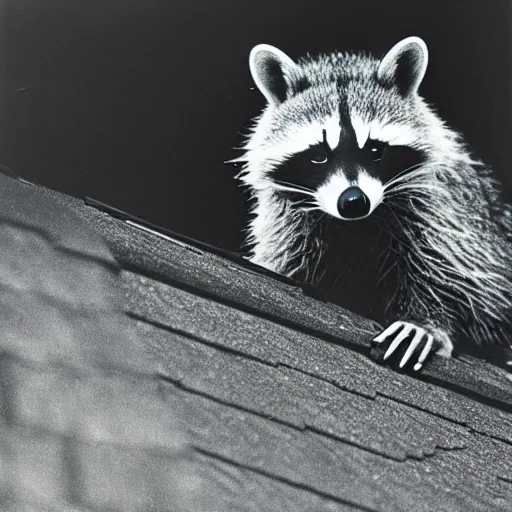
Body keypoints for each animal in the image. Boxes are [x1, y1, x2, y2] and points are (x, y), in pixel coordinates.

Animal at [235, 37, 512, 372]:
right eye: (319, 155)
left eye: (376, 150)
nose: (353, 202)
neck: (355, 224)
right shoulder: (289, 223)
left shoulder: (441, 213)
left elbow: (451, 271)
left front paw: (426, 321)